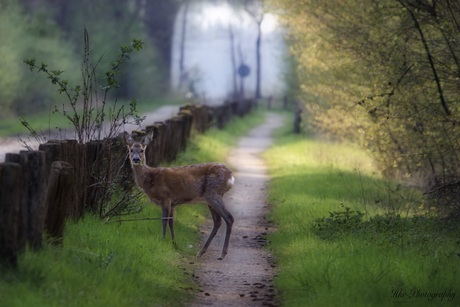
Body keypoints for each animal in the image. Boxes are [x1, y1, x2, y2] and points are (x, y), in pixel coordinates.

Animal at [124, 132, 234, 260]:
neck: (150, 179)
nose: (136, 159)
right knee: (218, 221)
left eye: (141, 150)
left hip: (213, 193)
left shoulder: (165, 197)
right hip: (210, 198)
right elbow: (171, 222)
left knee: (229, 218)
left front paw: (163, 240)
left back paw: (222, 254)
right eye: (131, 150)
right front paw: (174, 244)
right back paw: (201, 251)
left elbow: (164, 220)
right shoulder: (173, 203)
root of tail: (231, 177)